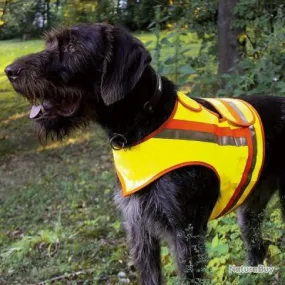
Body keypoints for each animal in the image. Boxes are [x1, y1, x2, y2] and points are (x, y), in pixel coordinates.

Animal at [4, 23, 284, 282]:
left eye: (73, 46)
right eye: (50, 43)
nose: (9, 71)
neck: (143, 123)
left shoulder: (186, 235)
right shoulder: (138, 228)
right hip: (250, 208)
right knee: (257, 245)